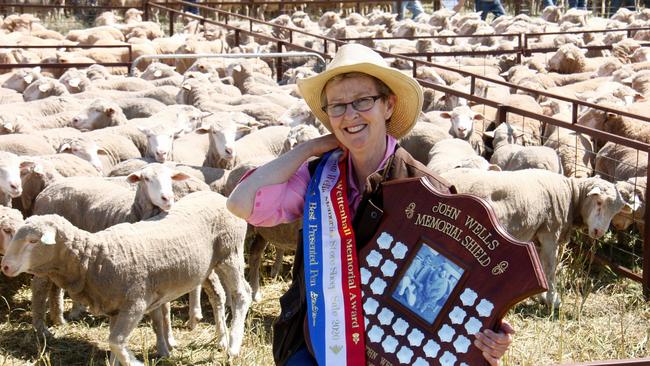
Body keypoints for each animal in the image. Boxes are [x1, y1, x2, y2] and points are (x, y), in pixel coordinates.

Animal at [440, 169, 632, 306]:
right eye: (599, 202)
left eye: (615, 211)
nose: (599, 232)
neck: (571, 195)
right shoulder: (549, 233)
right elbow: (550, 269)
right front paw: (552, 300)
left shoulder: (536, 237)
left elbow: (540, 268)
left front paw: (541, 296)